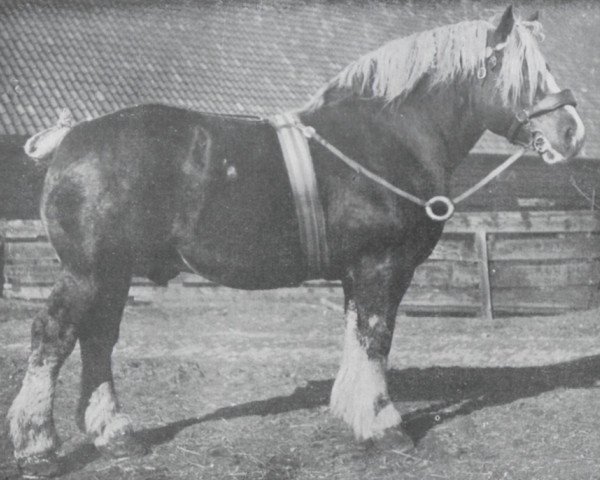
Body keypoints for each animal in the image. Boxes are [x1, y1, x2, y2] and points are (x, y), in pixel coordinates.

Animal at [7, 6, 584, 476]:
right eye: (525, 73)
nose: (573, 132)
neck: (389, 136)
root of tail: (72, 137)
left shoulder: (358, 272)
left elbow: (357, 338)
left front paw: (354, 414)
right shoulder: (382, 266)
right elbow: (375, 339)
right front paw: (384, 426)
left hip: (114, 273)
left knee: (98, 340)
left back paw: (115, 435)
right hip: (88, 272)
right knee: (53, 336)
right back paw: (38, 448)